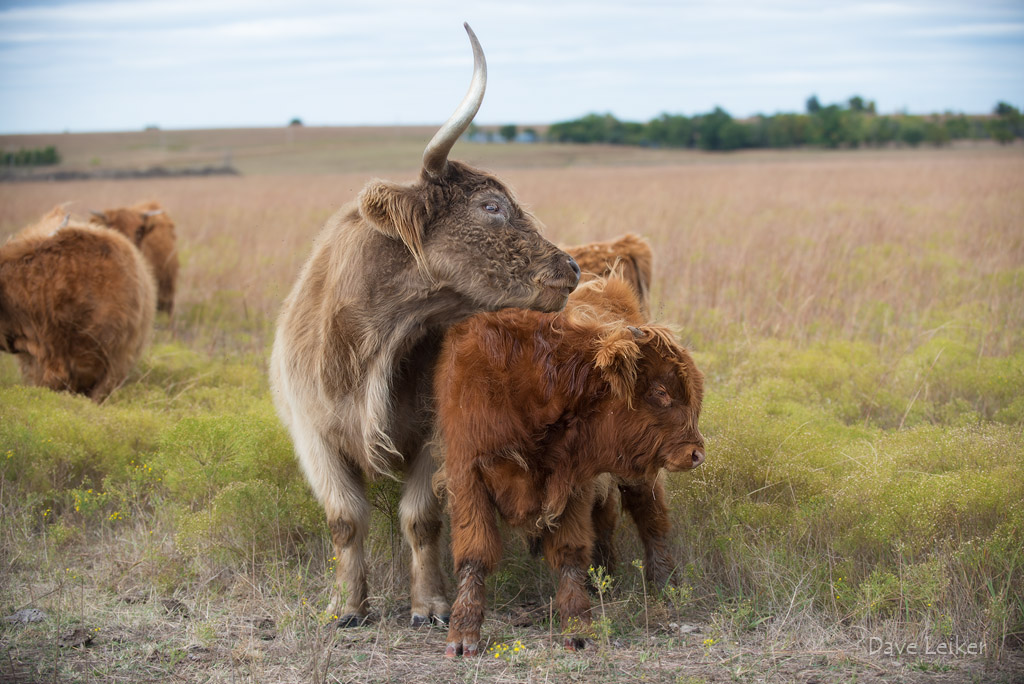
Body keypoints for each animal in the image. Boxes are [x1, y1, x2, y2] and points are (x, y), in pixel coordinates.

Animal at [432, 274, 704, 655]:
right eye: (660, 391)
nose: (697, 452)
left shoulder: (572, 484)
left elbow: (570, 552)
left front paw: (578, 626)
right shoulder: (467, 474)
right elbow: (475, 554)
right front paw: (463, 634)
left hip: (639, 480)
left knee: (652, 521)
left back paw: (666, 586)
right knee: (608, 522)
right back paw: (605, 579)